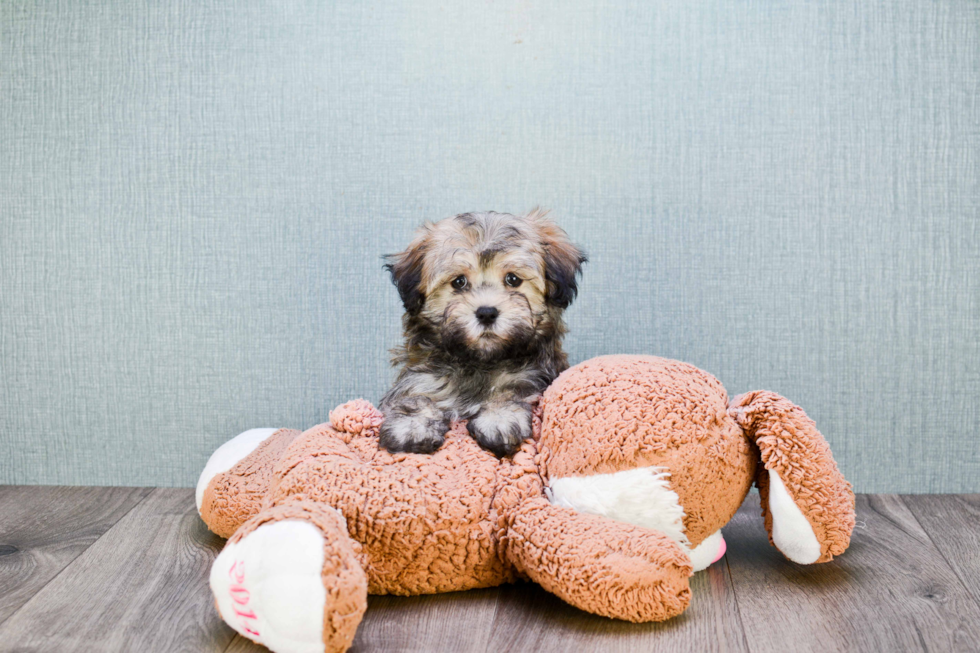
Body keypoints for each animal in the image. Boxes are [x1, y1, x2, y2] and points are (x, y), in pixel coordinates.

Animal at [378, 209, 584, 454]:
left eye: (513, 279)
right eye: (459, 282)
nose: (486, 313)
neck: (480, 360)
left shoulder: (532, 376)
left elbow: (510, 390)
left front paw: (499, 419)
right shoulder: (421, 374)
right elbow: (415, 394)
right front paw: (412, 426)